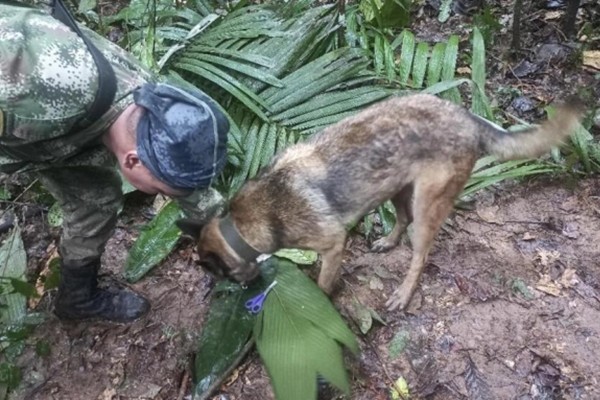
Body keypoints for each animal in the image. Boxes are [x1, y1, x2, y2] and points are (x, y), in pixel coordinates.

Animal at [177, 94, 580, 312]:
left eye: (220, 274)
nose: (246, 291)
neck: (243, 224)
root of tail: (468, 118)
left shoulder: (333, 244)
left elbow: (323, 282)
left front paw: (320, 301)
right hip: (397, 188)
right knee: (401, 220)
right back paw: (388, 241)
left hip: (427, 205)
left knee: (420, 254)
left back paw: (403, 292)